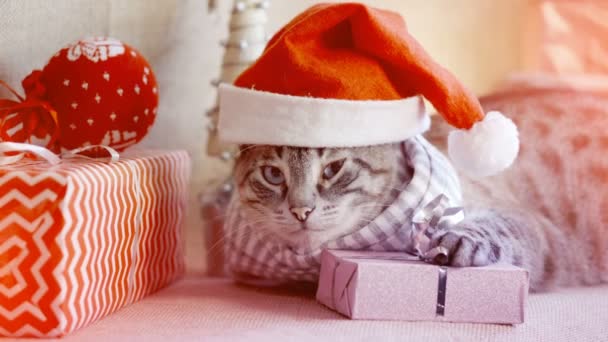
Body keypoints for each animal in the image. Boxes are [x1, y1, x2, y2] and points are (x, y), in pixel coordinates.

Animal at [230, 84, 604, 290]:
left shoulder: (531, 223)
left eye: (333, 169)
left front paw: (458, 242)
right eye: (273, 175)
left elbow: (493, 228)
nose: (301, 210)